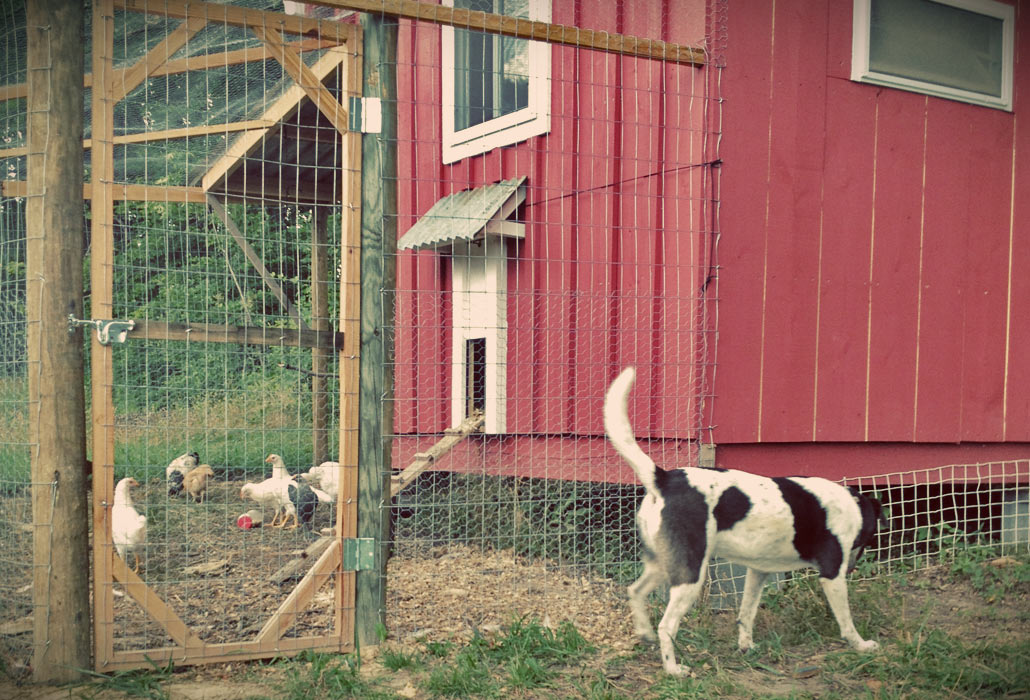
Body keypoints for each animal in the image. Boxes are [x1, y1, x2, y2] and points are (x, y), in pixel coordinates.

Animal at [601, 368, 885, 675]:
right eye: (867, 539)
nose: (852, 568)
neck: (852, 506)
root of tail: (664, 478)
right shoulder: (832, 574)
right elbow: (846, 622)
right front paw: (861, 646)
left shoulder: (757, 572)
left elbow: (746, 614)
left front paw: (746, 647)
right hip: (691, 574)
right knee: (667, 626)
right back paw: (674, 669)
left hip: (663, 564)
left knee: (635, 591)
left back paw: (645, 633)